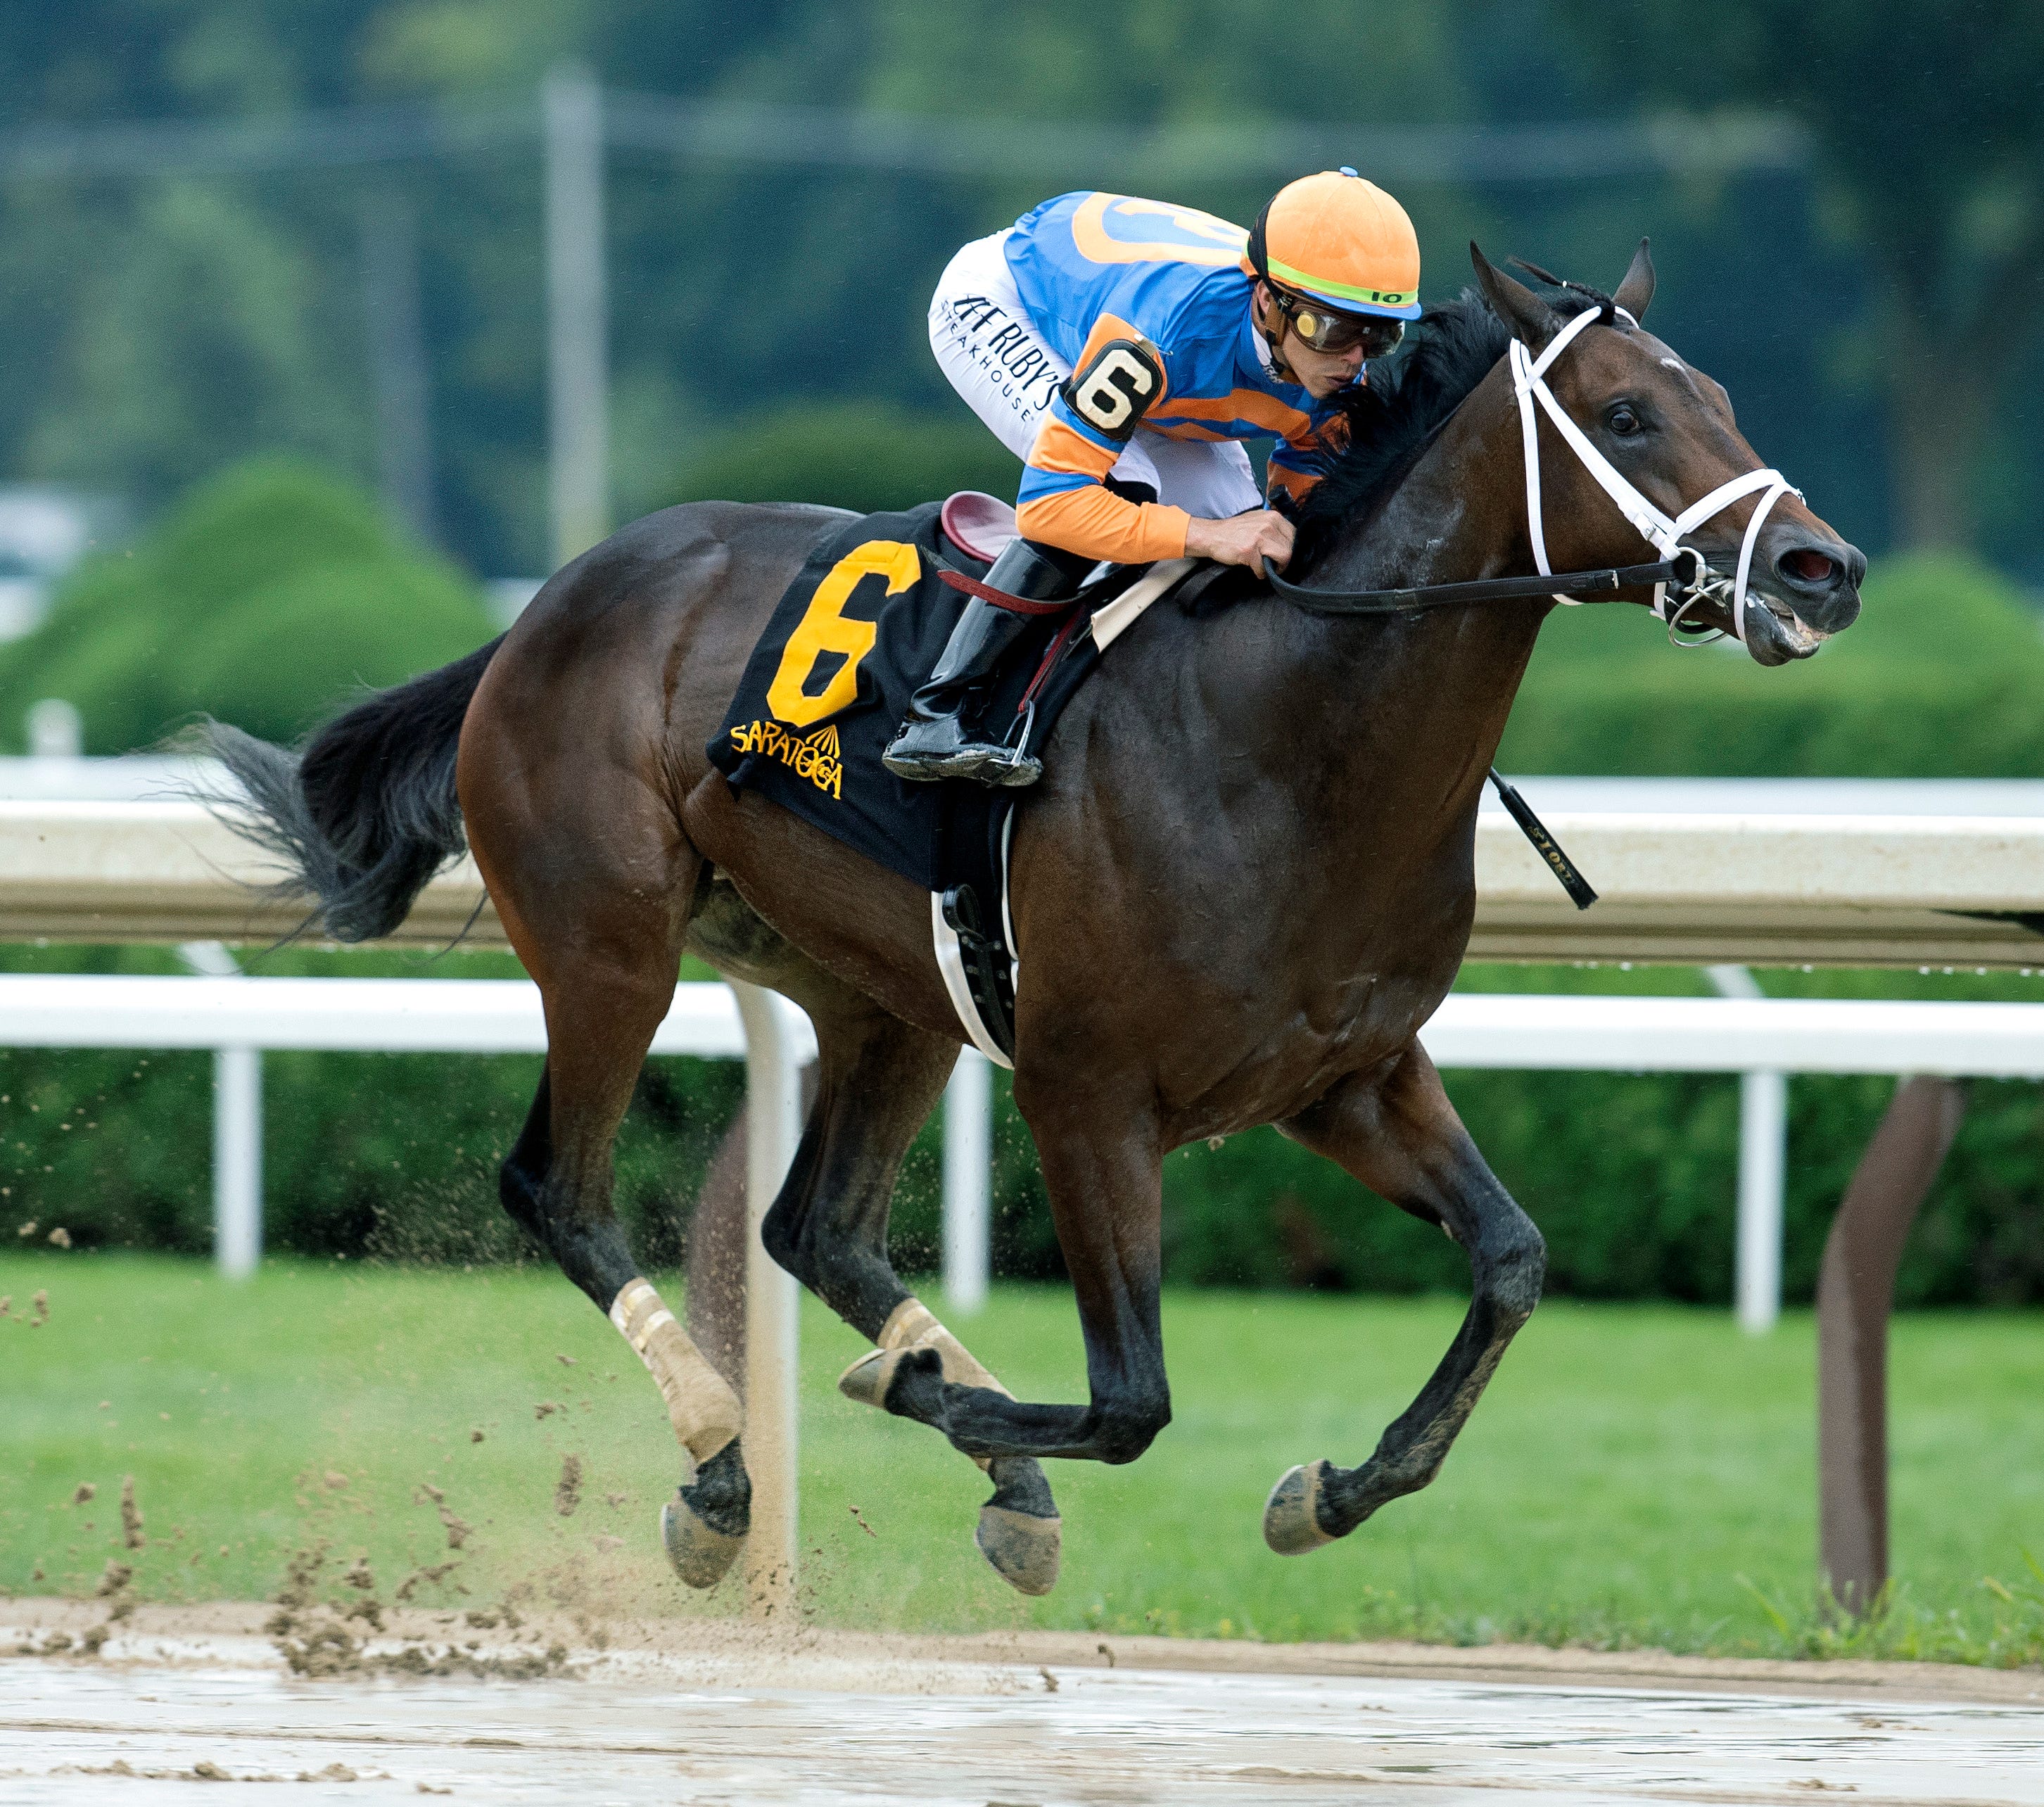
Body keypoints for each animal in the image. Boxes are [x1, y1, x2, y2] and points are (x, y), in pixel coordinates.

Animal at [215, 240, 1864, 1594]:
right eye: (1630, 416)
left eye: (1719, 395)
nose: (1821, 566)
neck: (1293, 736)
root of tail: (548, 605)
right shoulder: (1090, 1093)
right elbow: (1135, 1399)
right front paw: (917, 1396)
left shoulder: (1343, 1076)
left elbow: (1511, 1260)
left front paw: (1326, 1491)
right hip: (609, 943)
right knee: (559, 1185)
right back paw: (726, 1464)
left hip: (886, 995)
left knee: (815, 1227)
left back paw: (986, 1468)